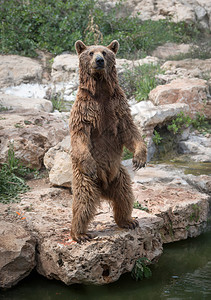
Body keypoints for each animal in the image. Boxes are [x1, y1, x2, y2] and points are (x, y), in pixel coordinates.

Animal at [69, 39, 147, 243]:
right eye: (90, 52)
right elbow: (80, 135)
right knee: (84, 201)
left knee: (125, 196)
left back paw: (128, 221)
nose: (99, 61)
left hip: (119, 175)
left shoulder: (117, 106)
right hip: (85, 178)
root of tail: (104, 188)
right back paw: (79, 233)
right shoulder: (84, 110)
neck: (101, 90)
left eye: (104, 52)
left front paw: (139, 158)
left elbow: (130, 131)